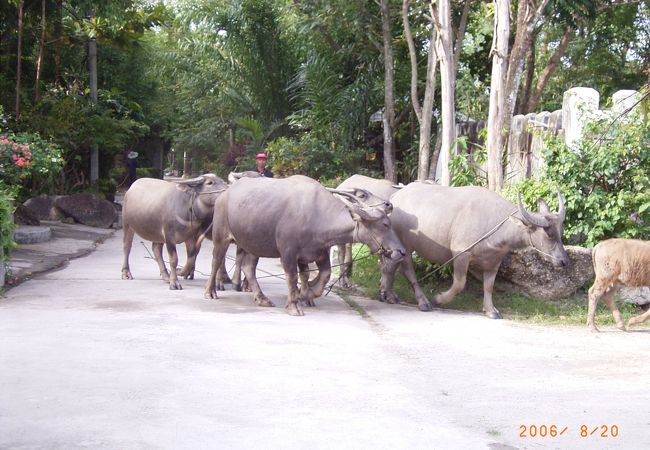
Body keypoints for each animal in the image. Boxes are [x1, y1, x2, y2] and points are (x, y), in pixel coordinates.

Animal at [204, 174, 404, 314]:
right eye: (385, 225)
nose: (401, 251)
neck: (317, 214)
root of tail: (224, 195)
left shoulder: (317, 253)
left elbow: (320, 275)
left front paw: (306, 294)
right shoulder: (288, 252)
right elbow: (293, 277)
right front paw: (295, 305)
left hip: (253, 244)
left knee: (248, 267)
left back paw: (262, 298)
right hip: (221, 237)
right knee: (216, 261)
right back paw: (210, 292)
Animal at [380, 182, 568, 316]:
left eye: (561, 232)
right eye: (549, 234)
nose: (564, 261)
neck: (494, 225)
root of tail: (396, 196)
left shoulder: (494, 261)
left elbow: (489, 286)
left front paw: (491, 310)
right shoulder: (461, 254)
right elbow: (459, 283)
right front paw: (439, 299)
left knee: (390, 266)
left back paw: (387, 295)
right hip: (405, 245)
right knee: (406, 271)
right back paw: (423, 302)